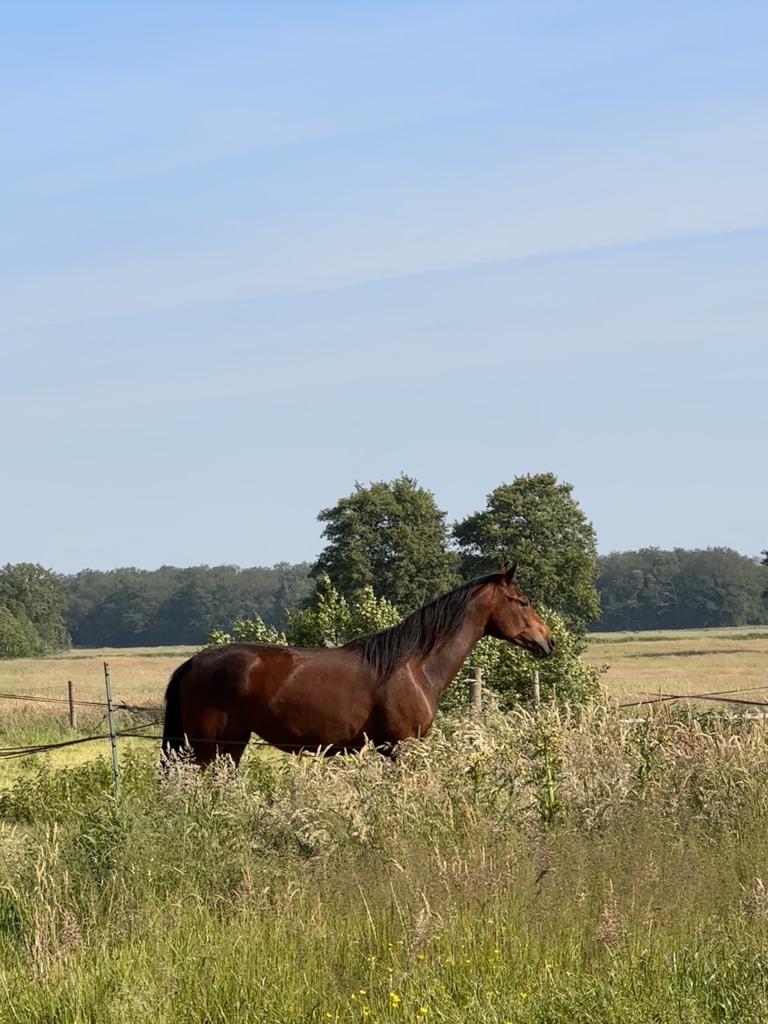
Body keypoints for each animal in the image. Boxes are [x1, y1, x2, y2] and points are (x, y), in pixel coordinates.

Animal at [161, 565, 554, 766]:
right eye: (522, 601)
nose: (547, 641)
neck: (415, 667)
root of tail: (194, 662)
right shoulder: (400, 748)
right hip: (207, 746)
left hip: (230, 744)